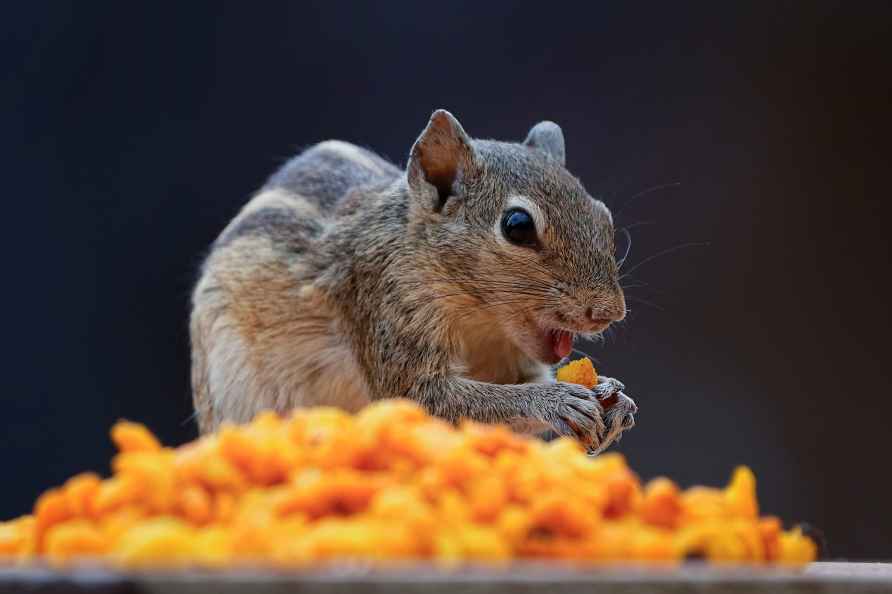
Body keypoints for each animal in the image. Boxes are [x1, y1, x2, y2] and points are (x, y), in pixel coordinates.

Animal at [190, 108, 636, 450]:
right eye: (518, 226)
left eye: (603, 216)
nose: (610, 313)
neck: (479, 319)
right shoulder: (384, 305)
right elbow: (424, 398)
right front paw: (556, 400)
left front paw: (614, 396)